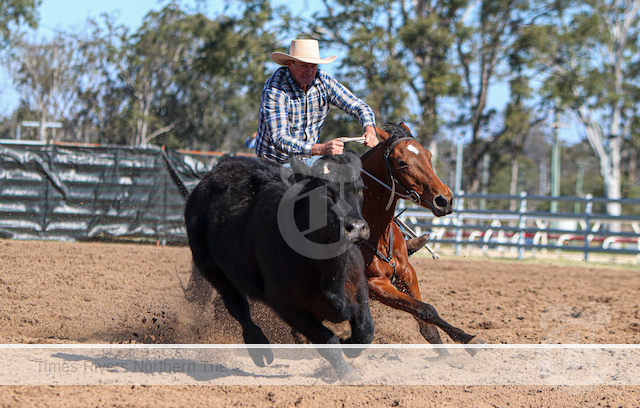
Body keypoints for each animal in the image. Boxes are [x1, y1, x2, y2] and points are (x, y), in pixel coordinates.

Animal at [358, 122, 482, 354]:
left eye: (429, 155)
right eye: (401, 162)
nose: (444, 200)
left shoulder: (407, 272)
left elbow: (425, 319)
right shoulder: (375, 284)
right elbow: (427, 310)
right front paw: (469, 339)